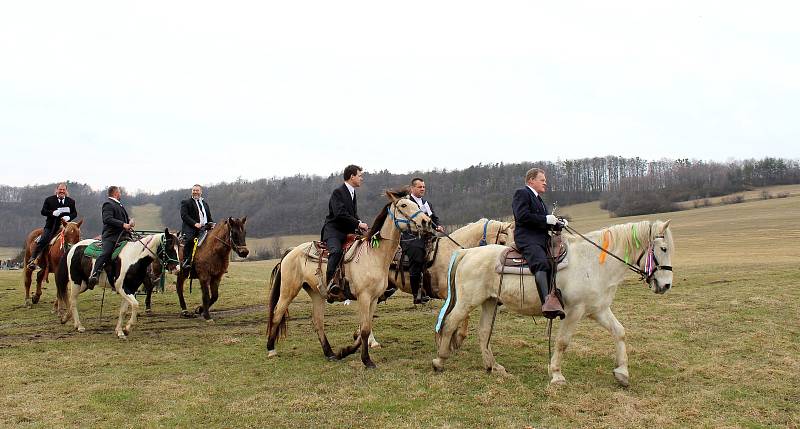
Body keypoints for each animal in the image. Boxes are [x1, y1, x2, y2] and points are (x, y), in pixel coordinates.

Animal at [268, 191, 432, 368]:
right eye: (403, 205)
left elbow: (365, 327)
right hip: (288, 291)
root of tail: (291, 251)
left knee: (318, 322)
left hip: (317, 294)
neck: (374, 255)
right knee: (277, 314)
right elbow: (365, 329)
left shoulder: (374, 299)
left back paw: (330, 353)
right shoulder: (364, 297)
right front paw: (367, 360)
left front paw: (346, 351)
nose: (426, 221)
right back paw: (271, 350)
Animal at [432, 219, 676, 386]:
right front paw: (557, 375)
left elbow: (620, 332)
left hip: (490, 302)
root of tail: (466, 253)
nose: (666, 285)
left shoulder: (599, 310)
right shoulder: (574, 312)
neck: (593, 262)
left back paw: (493, 366)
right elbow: (562, 342)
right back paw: (440, 361)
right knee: (450, 323)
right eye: (663, 249)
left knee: (483, 332)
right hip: (467, 302)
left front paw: (622, 373)